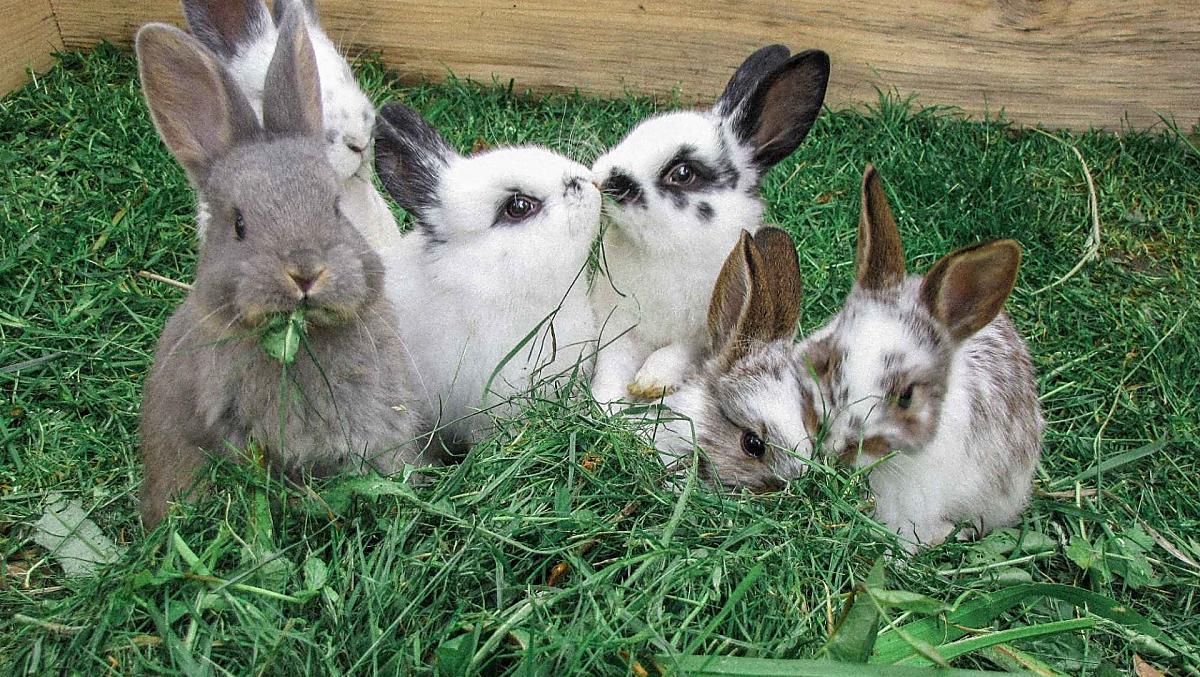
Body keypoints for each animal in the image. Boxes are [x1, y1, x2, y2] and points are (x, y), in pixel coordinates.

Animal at [589, 44, 829, 406]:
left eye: (683, 173)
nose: (601, 180)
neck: (663, 252)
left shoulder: (703, 334)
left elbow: (676, 353)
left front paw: (651, 382)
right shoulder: (618, 325)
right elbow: (612, 366)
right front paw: (605, 404)